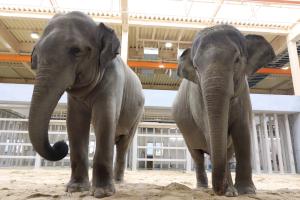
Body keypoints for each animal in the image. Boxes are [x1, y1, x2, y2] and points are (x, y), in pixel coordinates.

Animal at [28, 11, 145, 198]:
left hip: (138, 114)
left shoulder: (113, 80)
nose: (60, 145)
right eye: (35, 55)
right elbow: (75, 123)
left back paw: (119, 181)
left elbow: (104, 118)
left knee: (124, 143)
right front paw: (75, 189)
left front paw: (102, 193)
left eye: (76, 50)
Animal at [173, 25, 274, 197]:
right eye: (196, 67)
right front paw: (230, 192)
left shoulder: (244, 95)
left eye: (237, 60)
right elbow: (210, 132)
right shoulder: (199, 100)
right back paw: (202, 187)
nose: (220, 190)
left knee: (227, 151)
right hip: (186, 133)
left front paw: (247, 191)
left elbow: (242, 132)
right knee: (197, 156)